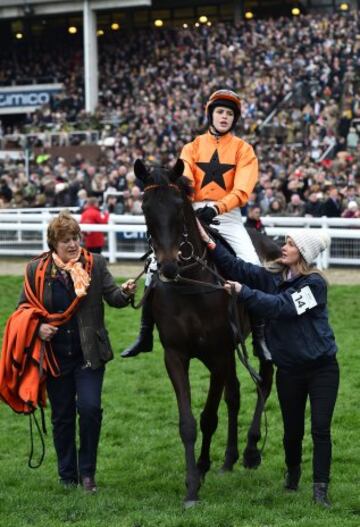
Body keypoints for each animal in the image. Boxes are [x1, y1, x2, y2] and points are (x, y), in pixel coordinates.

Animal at [134, 158, 282, 508]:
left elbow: (208, 417)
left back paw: (251, 450)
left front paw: (201, 469)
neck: (191, 284)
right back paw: (229, 458)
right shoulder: (176, 355)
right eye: (145, 208)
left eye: (178, 207)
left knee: (263, 382)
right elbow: (188, 422)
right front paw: (192, 484)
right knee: (235, 395)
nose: (168, 266)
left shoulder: (219, 353)